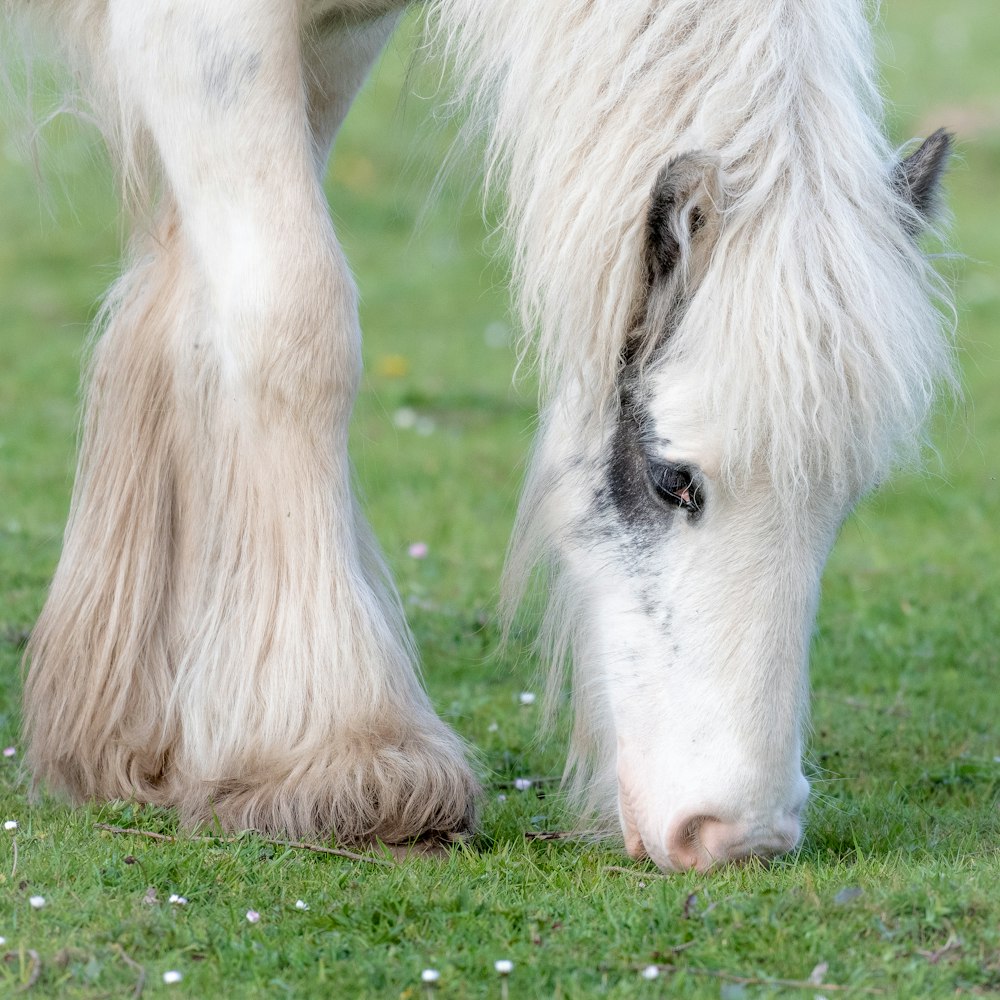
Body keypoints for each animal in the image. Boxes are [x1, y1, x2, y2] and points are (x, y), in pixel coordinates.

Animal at [5, 0, 952, 872]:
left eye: (847, 502)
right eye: (671, 479)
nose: (736, 835)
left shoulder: (329, 37)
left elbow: (188, 315)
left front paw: (132, 738)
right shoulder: (200, 35)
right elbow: (295, 320)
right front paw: (340, 755)